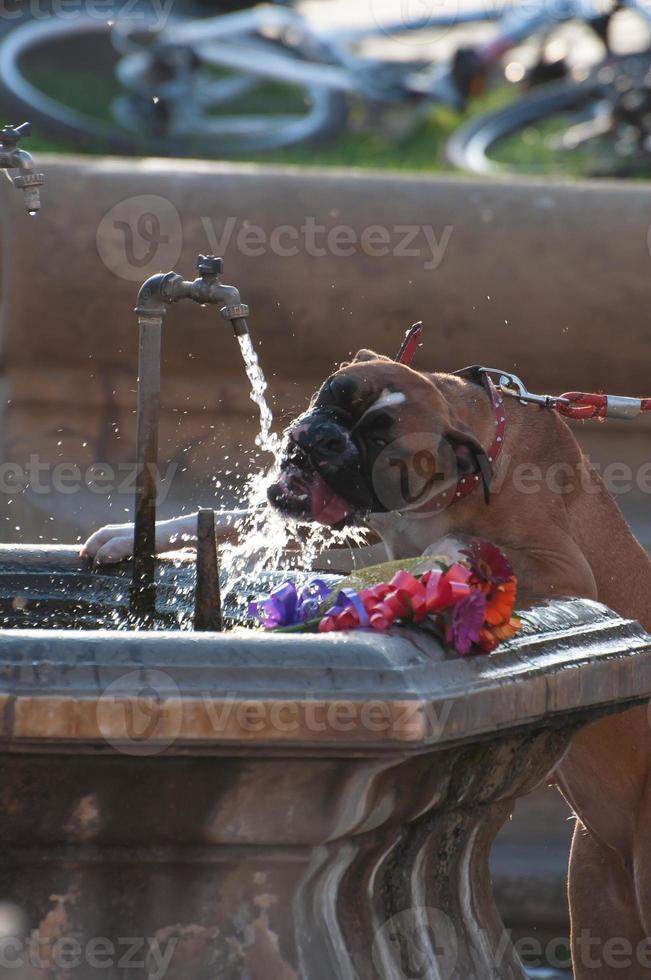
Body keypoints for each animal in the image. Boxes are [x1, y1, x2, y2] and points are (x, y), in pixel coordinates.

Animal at [85, 348, 651, 976]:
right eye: (336, 394)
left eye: (383, 443)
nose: (327, 438)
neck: (467, 467)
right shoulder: (348, 519)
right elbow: (235, 515)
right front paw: (130, 536)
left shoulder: (567, 573)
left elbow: (454, 547)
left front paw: (430, 566)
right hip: (597, 905)